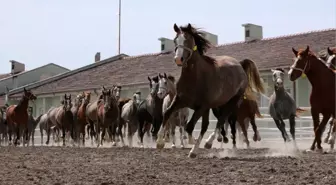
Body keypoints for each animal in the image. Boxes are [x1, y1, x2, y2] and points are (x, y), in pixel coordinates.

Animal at [158, 23, 266, 158]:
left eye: (187, 39)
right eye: (175, 40)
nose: (178, 59)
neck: (195, 77)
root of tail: (240, 65)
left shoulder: (202, 106)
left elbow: (190, 126)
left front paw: (193, 144)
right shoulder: (180, 101)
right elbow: (167, 114)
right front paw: (160, 142)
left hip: (231, 102)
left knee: (221, 119)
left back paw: (208, 143)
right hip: (216, 106)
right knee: (212, 123)